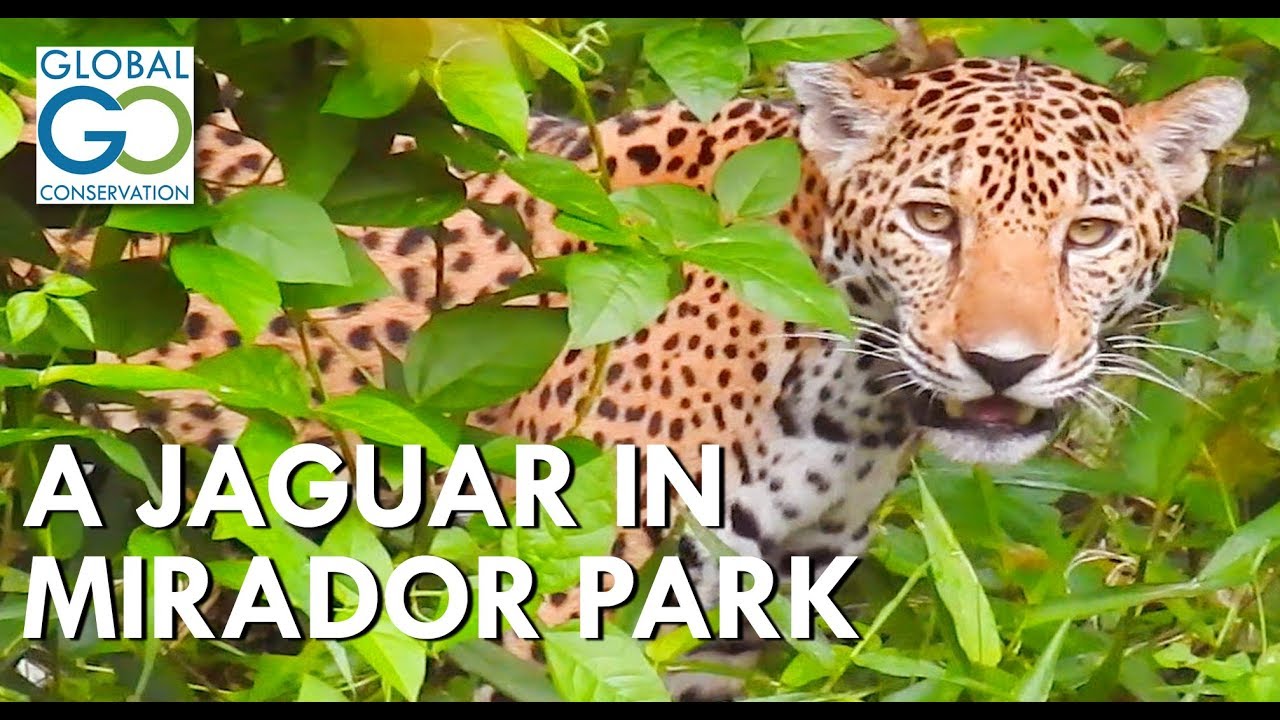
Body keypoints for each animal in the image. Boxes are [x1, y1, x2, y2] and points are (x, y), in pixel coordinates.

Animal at [24, 54, 1247, 699]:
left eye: (1088, 233)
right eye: (932, 220)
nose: (1005, 362)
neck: (844, 409)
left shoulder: (722, 642)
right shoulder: (553, 614)